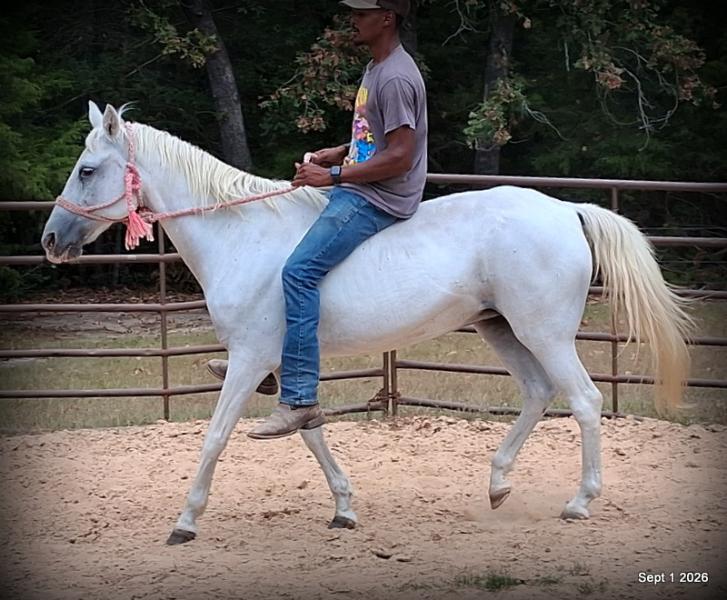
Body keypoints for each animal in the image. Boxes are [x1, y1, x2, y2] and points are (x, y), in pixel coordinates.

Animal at [41, 102, 694, 545]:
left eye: (88, 170)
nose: (50, 240)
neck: (242, 236)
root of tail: (566, 209)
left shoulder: (251, 360)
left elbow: (217, 437)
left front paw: (184, 522)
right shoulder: (284, 363)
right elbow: (308, 429)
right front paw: (344, 508)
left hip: (546, 333)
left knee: (584, 400)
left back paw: (580, 502)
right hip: (501, 328)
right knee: (537, 393)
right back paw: (497, 484)